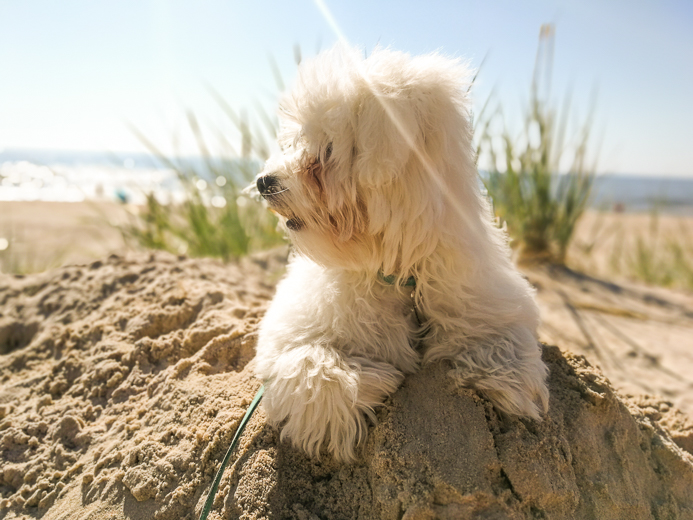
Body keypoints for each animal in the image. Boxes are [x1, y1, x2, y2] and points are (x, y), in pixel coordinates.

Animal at [251, 44, 548, 460]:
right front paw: (370, 383)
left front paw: (510, 381)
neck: (399, 272)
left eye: (327, 149)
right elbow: (309, 366)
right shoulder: (286, 334)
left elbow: (503, 338)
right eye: (297, 141)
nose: (264, 182)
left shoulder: (484, 297)